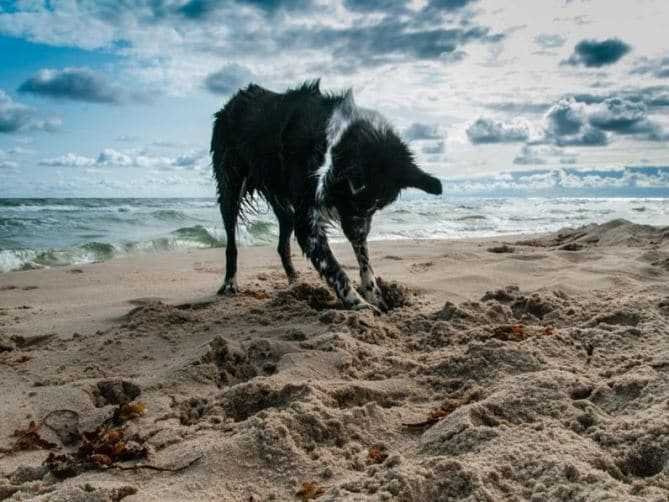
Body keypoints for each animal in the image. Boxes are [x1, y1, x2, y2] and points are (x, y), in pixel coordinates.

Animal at [209, 80, 438, 312]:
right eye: (353, 200)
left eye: (377, 206)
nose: (358, 234)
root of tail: (234, 100)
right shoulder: (309, 221)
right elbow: (335, 269)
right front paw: (359, 304)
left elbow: (364, 258)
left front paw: (373, 293)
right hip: (231, 186)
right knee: (231, 242)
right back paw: (230, 283)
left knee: (284, 233)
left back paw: (295, 281)